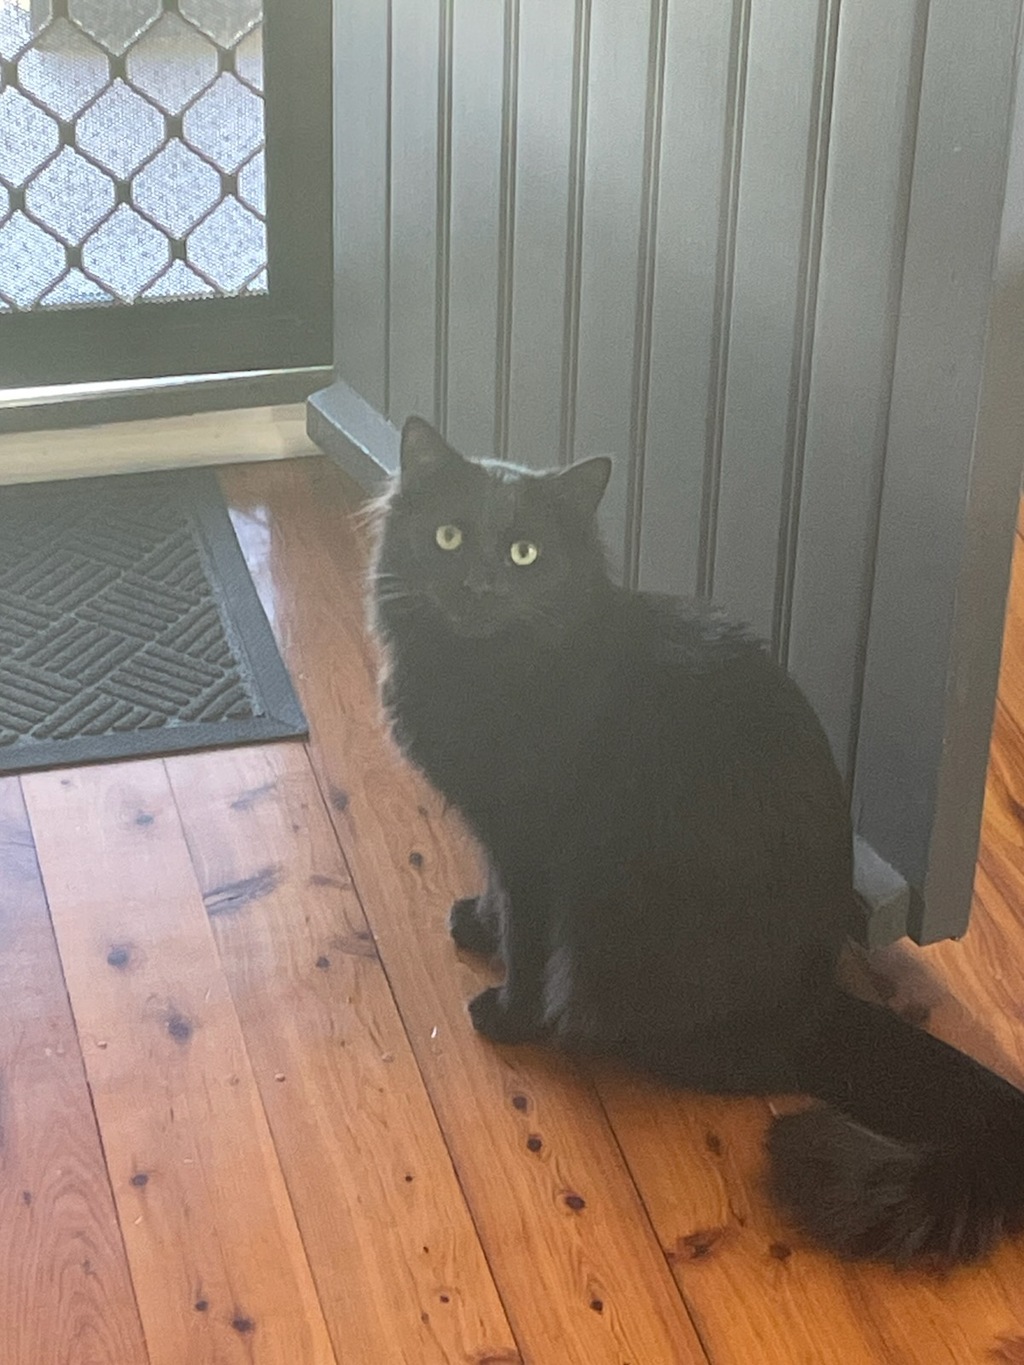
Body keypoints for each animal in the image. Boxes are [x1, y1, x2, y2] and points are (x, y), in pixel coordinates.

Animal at [370, 414, 1024, 1266]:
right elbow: (495, 894)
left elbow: (528, 935)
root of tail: (816, 1005)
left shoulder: (534, 843)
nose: (480, 585)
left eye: (524, 555)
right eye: (447, 536)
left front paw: (508, 1011)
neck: (481, 671)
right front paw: (476, 924)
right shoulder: (496, 829)